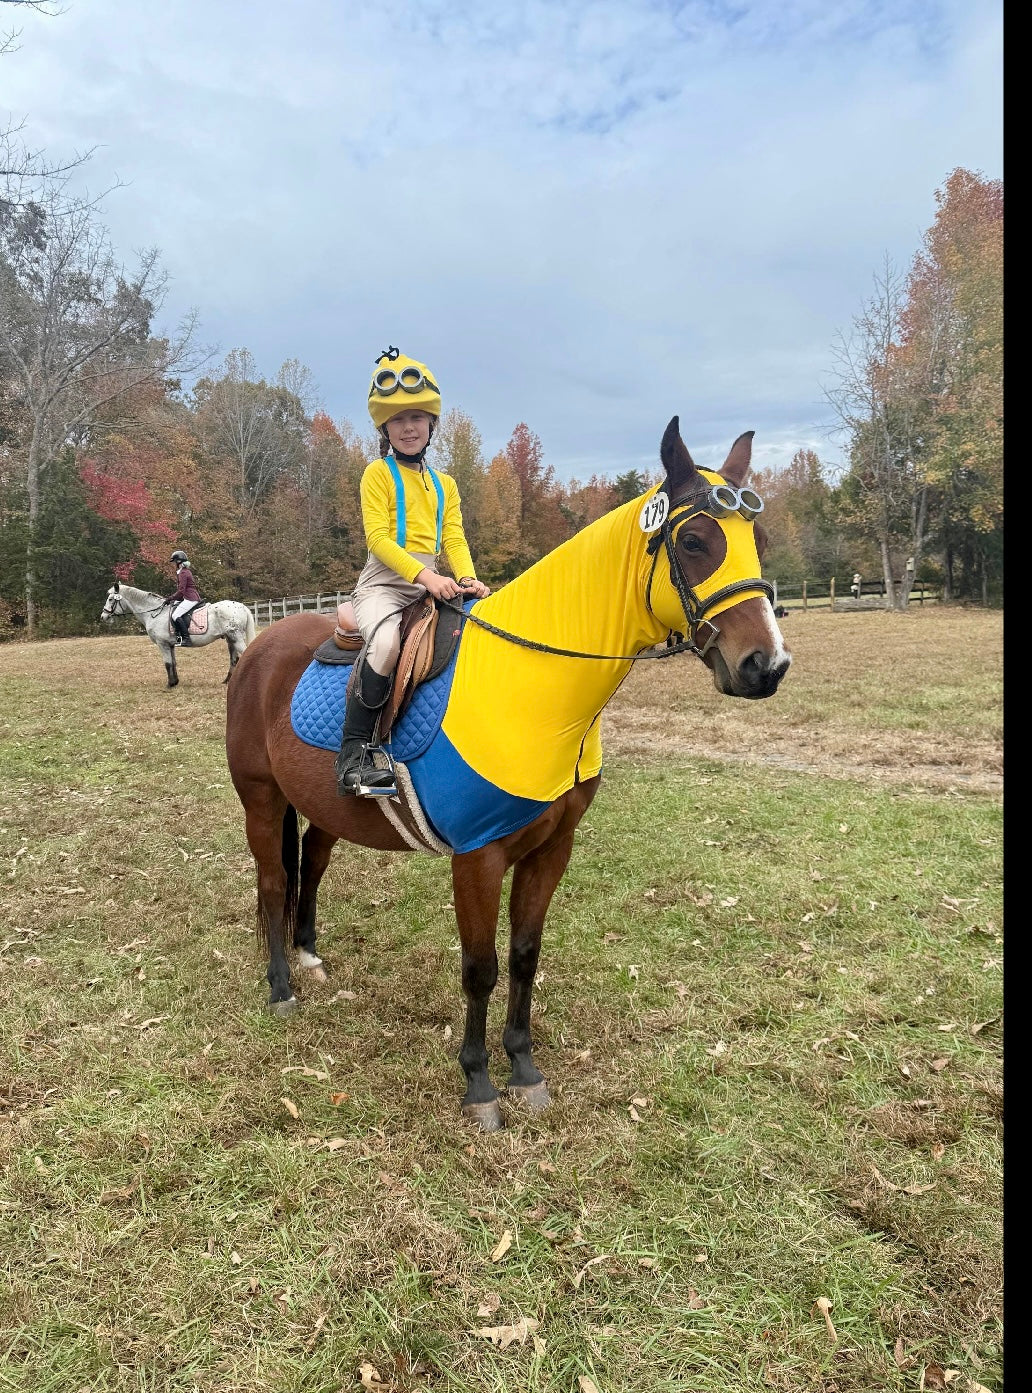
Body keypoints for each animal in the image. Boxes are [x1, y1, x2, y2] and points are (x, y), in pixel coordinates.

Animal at [100, 582, 257, 688]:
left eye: (110, 599)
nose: (103, 617)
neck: (153, 613)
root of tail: (241, 606)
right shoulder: (170, 645)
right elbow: (173, 663)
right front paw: (175, 682)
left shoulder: (162, 644)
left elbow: (167, 663)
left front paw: (170, 684)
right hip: (230, 639)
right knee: (234, 659)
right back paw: (227, 681)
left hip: (236, 638)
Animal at [224, 417, 791, 1131]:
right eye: (693, 541)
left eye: (758, 543)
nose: (766, 666)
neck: (531, 685)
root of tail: (260, 647)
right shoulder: (478, 857)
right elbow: (481, 967)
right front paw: (479, 1082)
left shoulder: (551, 849)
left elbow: (524, 955)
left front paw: (524, 1067)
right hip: (261, 800)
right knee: (274, 882)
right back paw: (280, 986)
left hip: (325, 807)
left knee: (312, 865)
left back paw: (308, 956)